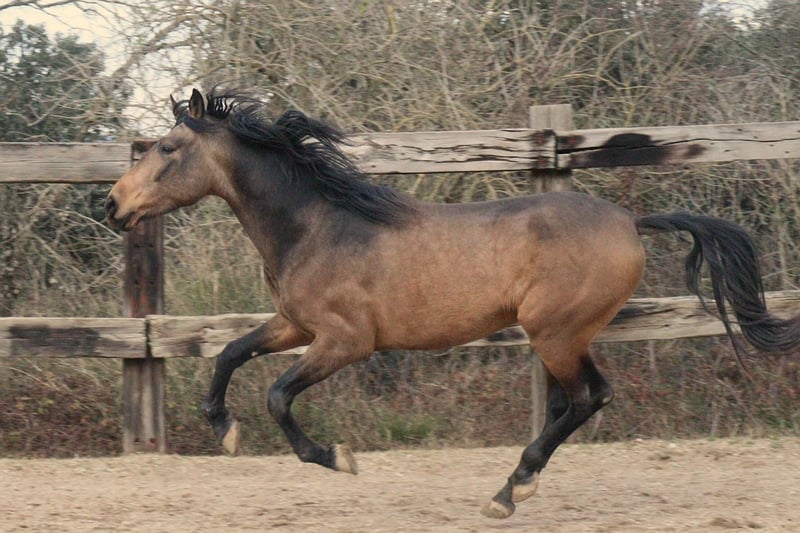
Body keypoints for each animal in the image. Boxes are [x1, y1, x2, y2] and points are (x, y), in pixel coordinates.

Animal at [105, 88, 800, 519]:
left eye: (166, 147)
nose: (113, 205)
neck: (317, 224)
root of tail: (631, 221)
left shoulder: (345, 341)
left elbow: (277, 395)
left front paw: (336, 458)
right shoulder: (294, 325)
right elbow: (228, 353)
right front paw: (224, 431)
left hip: (556, 332)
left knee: (589, 398)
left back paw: (509, 491)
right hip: (557, 336)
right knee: (569, 403)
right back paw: (517, 485)